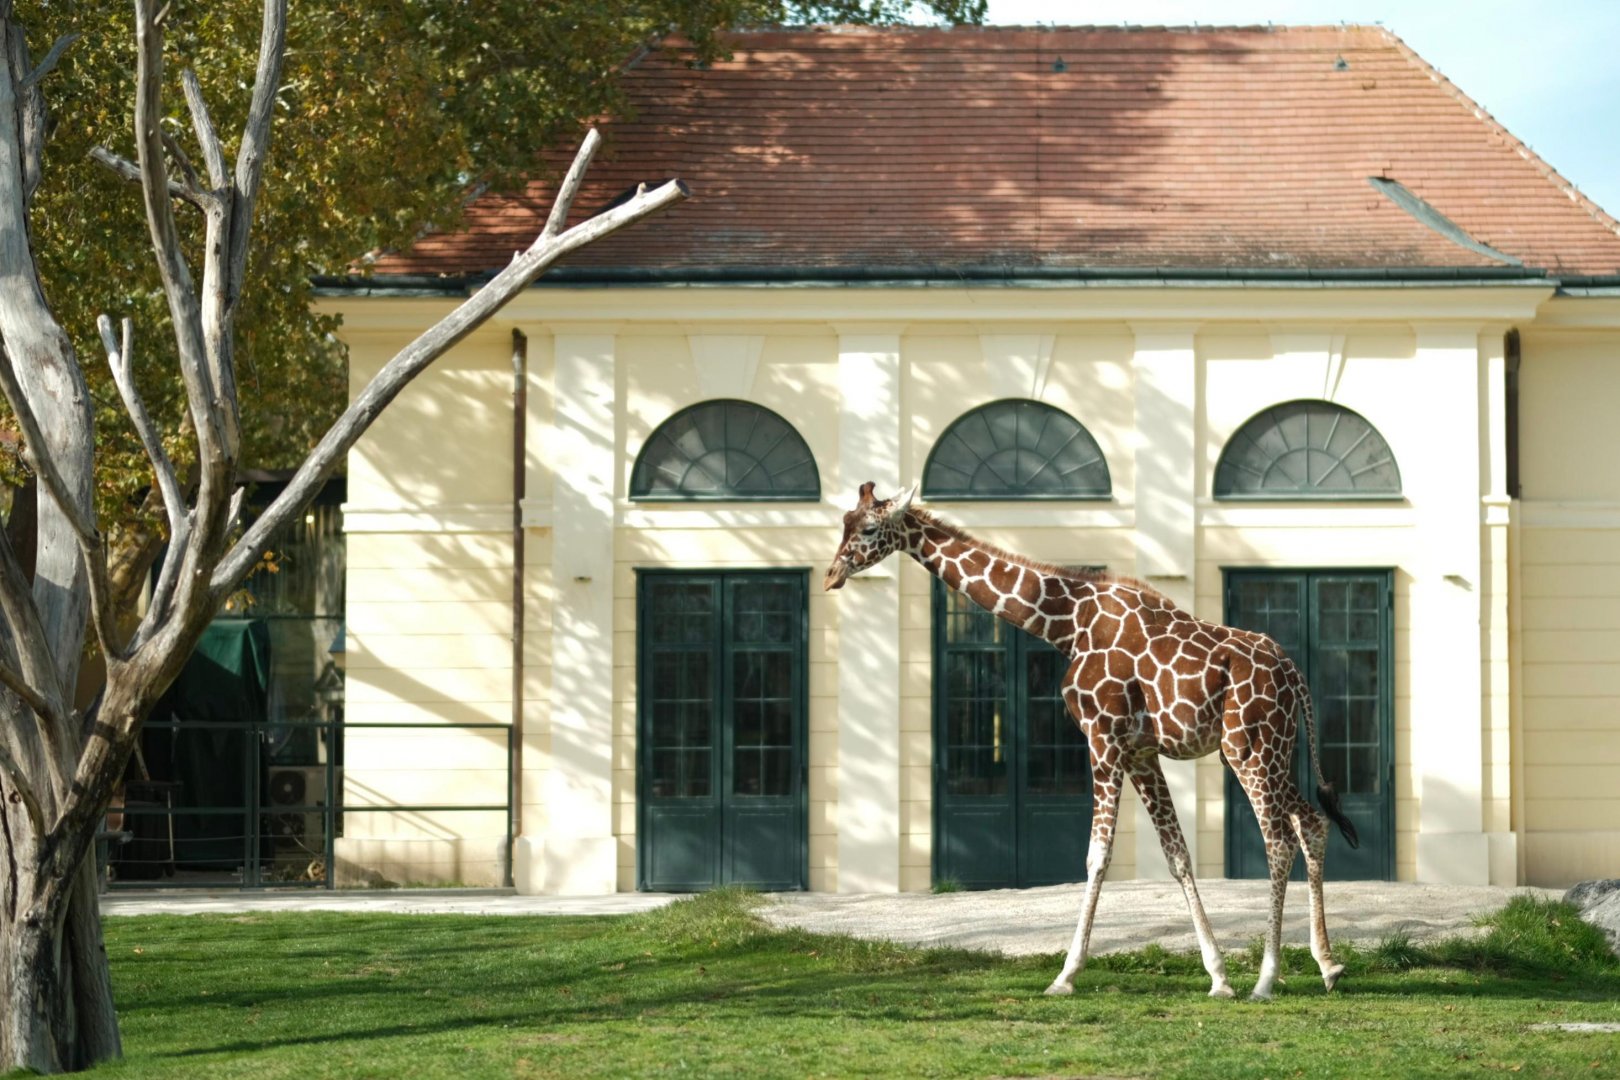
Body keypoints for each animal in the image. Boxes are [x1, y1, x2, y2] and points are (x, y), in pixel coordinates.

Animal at [824, 482, 1360, 1000]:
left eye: (869, 529)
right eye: (845, 522)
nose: (831, 574)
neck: (1066, 623)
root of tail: (1294, 675)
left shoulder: (1103, 739)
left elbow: (1096, 856)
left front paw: (1065, 975)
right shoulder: (1141, 753)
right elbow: (1178, 856)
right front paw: (1218, 977)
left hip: (1247, 748)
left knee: (1279, 840)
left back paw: (1267, 980)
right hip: (1274, 749)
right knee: (1311, 822)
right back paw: (1328, 965)